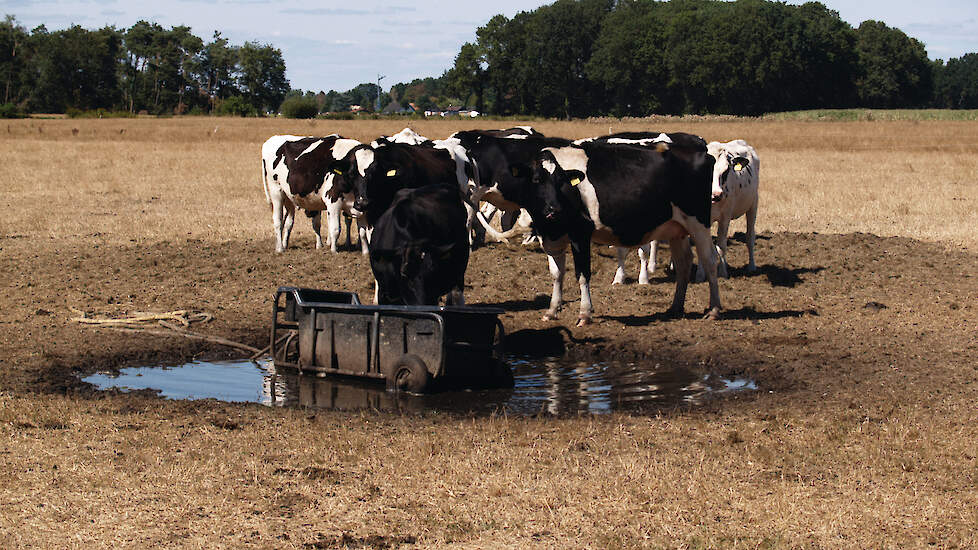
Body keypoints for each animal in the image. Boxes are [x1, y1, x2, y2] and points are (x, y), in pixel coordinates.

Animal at [516, 137, 720, 326]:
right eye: (536, 180)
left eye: (561, 181)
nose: (554, 209)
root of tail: (701, 153)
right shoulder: (550, 237)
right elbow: (556, 273)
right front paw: (552, 311)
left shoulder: (580, 233)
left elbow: (582, 274)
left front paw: (584, 314)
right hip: (677, 228)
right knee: (684, 262)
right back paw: (675, 307)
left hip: (698, 222)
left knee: (710, 259)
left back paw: (714, 309)